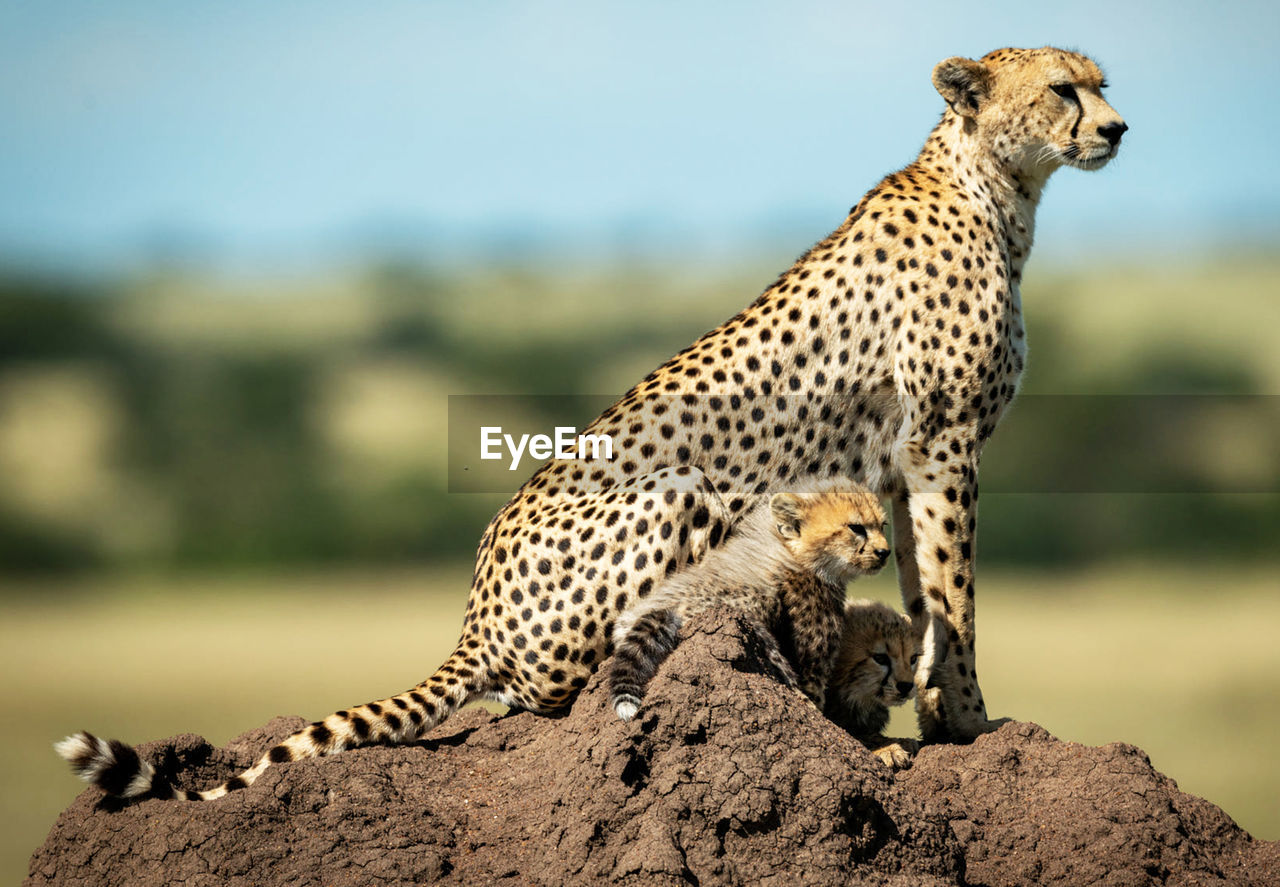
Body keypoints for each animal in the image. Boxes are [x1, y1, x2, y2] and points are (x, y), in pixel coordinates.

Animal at [609, 478, 890, 721]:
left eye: (883, 526)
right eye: (856, 528)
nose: (884, 552)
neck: (794, 553)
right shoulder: (811, 653)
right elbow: (816, 692)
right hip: (745, 606)